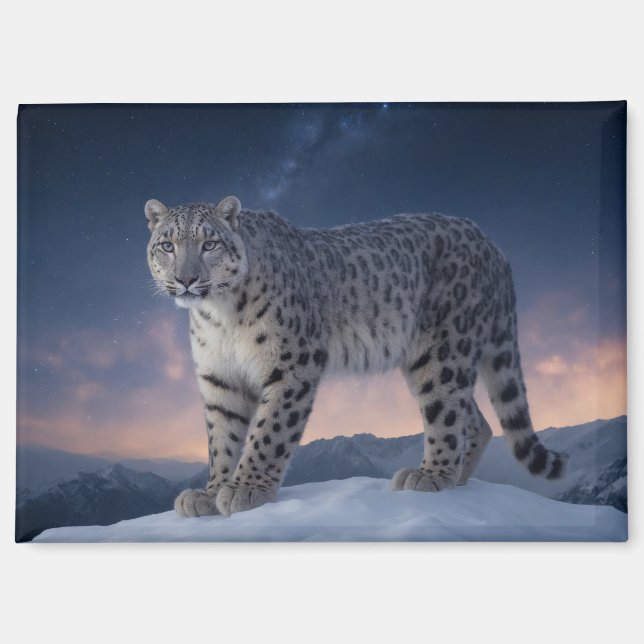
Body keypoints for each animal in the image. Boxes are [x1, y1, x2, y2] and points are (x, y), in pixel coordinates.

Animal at [145, 195, 566, 518]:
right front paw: (210, 492)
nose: (185, 279)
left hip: (443, 351)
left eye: (209, 244)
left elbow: (269, 431)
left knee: (447, 412)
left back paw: (431, 476)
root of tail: (491, 243)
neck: (219, 316)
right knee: (475, 419)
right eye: (167, 245)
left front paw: (246, 488)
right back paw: (456, 477)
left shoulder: (292, 365)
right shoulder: (219, 379)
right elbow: (222, 438)